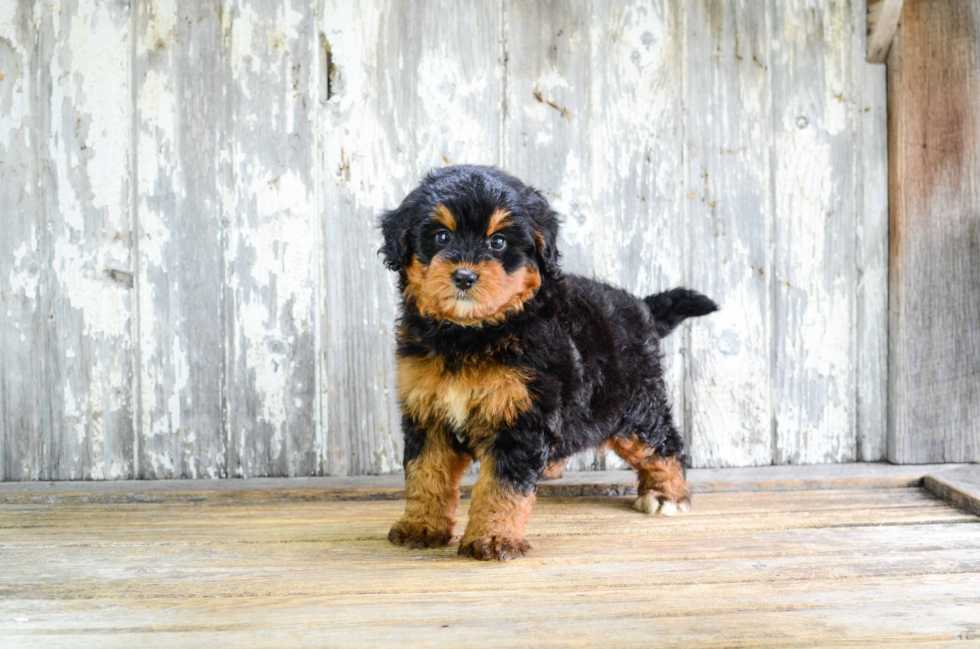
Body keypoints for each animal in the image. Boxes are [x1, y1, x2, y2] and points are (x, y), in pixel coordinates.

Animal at [378, 165, 716, 560]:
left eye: (498, 242)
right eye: (442, 236)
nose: (464, 276)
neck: (472, 334)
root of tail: (643, 308)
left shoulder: (520, 417)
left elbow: (501, 486)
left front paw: (493, 539)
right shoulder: (429, 413)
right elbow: (426, 474)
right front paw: (420, 527)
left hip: (635, 406)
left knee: (662, 443)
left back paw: (667, 495)